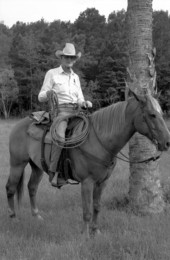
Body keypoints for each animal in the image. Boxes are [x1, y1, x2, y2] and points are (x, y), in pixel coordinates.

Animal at [5, 93, 170, 238]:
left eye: (161, 113)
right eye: (152, 115)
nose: (167, 142)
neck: (99, 141)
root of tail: (19, 125)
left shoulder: (102, 182)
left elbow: (96, 206)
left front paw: (96, 231)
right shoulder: (87, 182)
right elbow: (87, 210)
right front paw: (85, 234)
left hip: (37, 167)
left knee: (32, 188)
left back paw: (36, 216)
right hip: (17, 164)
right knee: (11, 188)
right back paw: (13, 218)